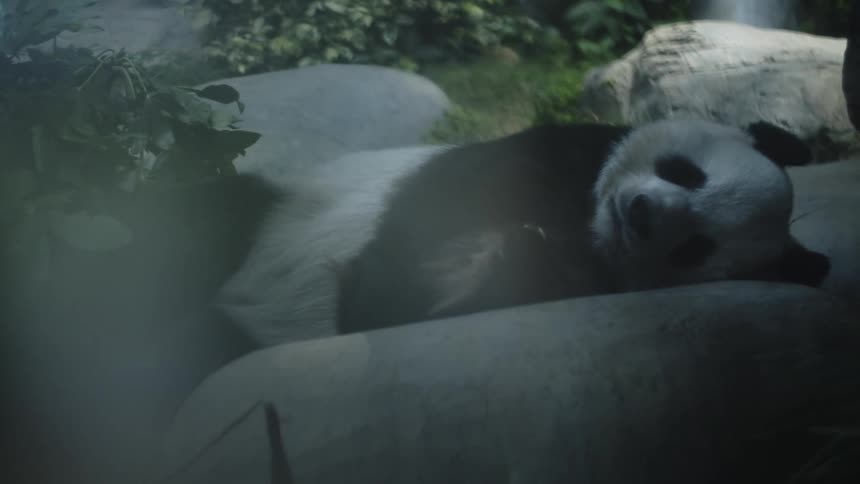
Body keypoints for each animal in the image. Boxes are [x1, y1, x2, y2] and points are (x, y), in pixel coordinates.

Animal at [213, 118, 831, 347]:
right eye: (686, 172)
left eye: (697, 245)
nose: (641, 214)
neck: (584, 220)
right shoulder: (544, 154)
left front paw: (515, 257)